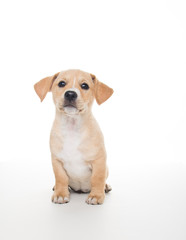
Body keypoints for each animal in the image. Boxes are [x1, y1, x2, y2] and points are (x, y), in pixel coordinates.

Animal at [34, 69, 113, 204]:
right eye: (61, 83)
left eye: (85, 86)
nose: (70, 94)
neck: (72, 128)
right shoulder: (57, 161)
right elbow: (61, 178)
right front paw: (60, 193)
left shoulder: (99, 161)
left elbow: (97, 179)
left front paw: (96, 195)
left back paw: (105, 187)